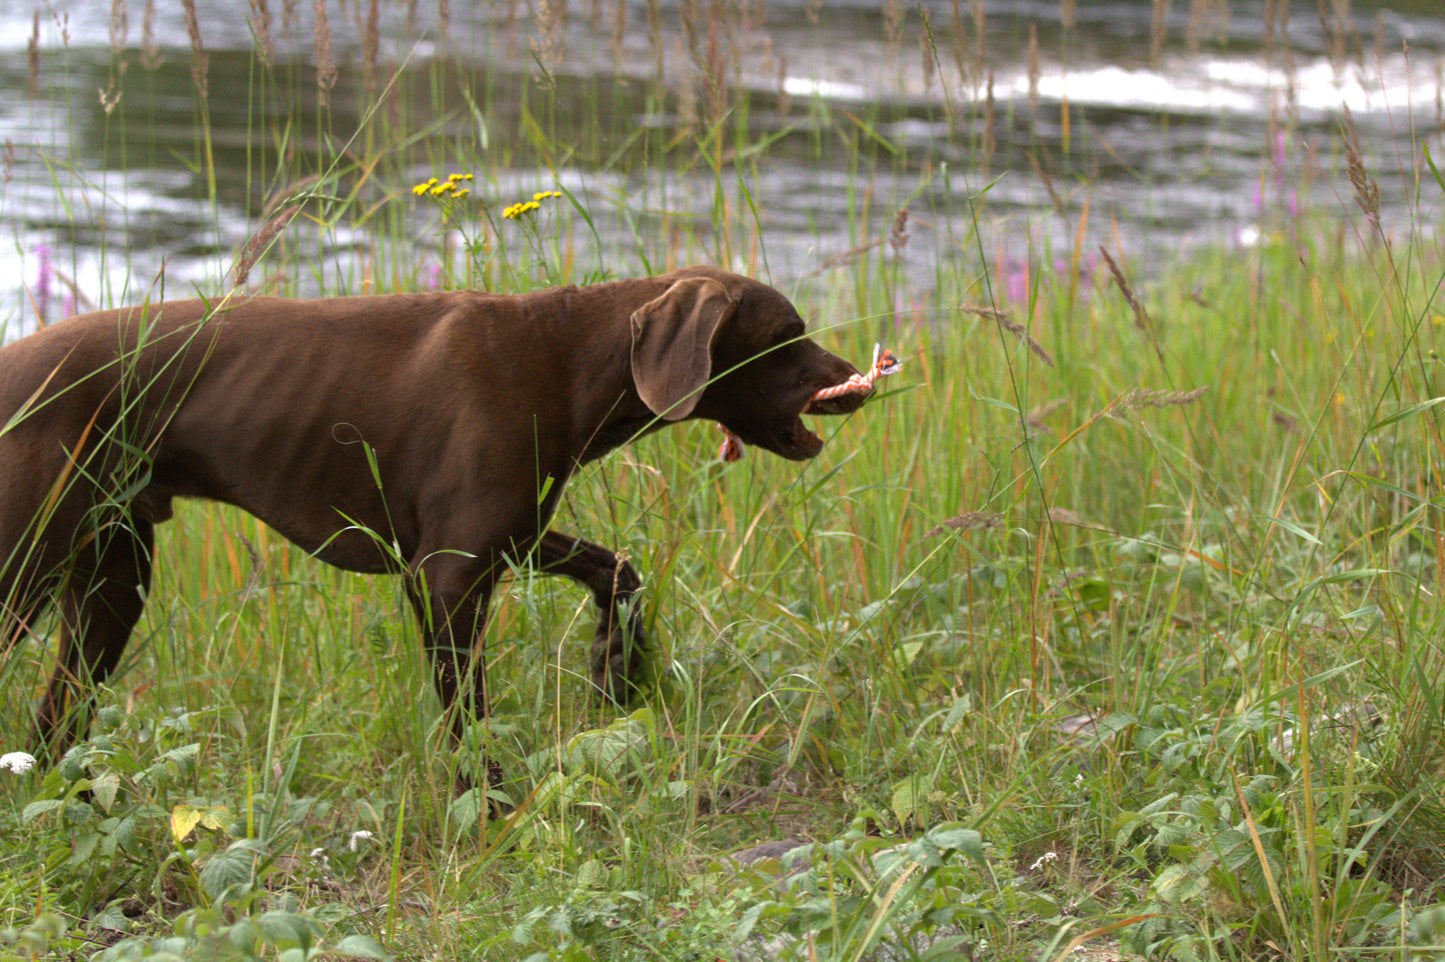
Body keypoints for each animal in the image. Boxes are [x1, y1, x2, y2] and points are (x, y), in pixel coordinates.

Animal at [2, 264, 867, 785]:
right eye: (786, 335)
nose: (855, 378)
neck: (567, 358)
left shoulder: (510, 540)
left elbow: (617, 570)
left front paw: (616, 671)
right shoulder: (446, 576)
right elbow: (468, 720)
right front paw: (486, 808)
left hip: (109, 584)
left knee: (53, 722)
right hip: (28, 571)